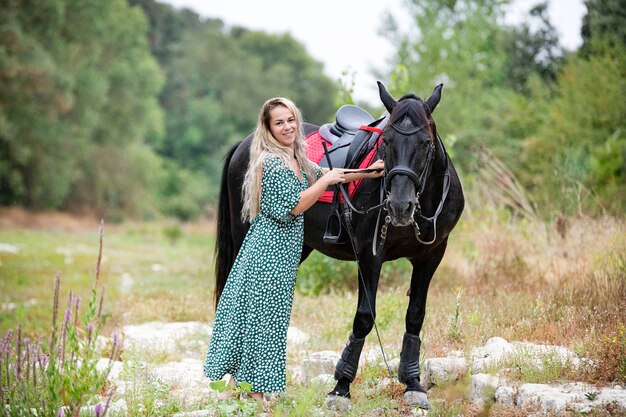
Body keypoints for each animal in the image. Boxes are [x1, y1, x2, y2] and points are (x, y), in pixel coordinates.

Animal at [214, 81, 464, 406]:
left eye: (425, 143)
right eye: (386, 143)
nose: (400, 206)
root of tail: (244, 145)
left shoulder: (431, 256)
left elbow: (415, 316)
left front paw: (413, 383)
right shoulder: (369, 255)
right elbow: (364, 318)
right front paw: (341, 386)